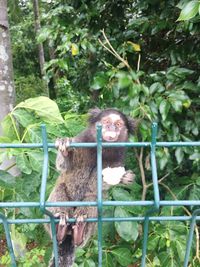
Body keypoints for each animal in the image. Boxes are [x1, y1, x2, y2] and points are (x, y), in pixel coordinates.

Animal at [46, 108, 135, 267]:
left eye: (118, 124)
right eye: (106, 122)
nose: (111, 128)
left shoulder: (117, 160)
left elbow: (101, 184)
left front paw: (124, 178)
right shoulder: (80, 143)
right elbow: (64, 167)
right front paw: (64, 150)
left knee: (91, 200)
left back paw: (78, 233)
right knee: (59, 190)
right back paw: (59, 229)